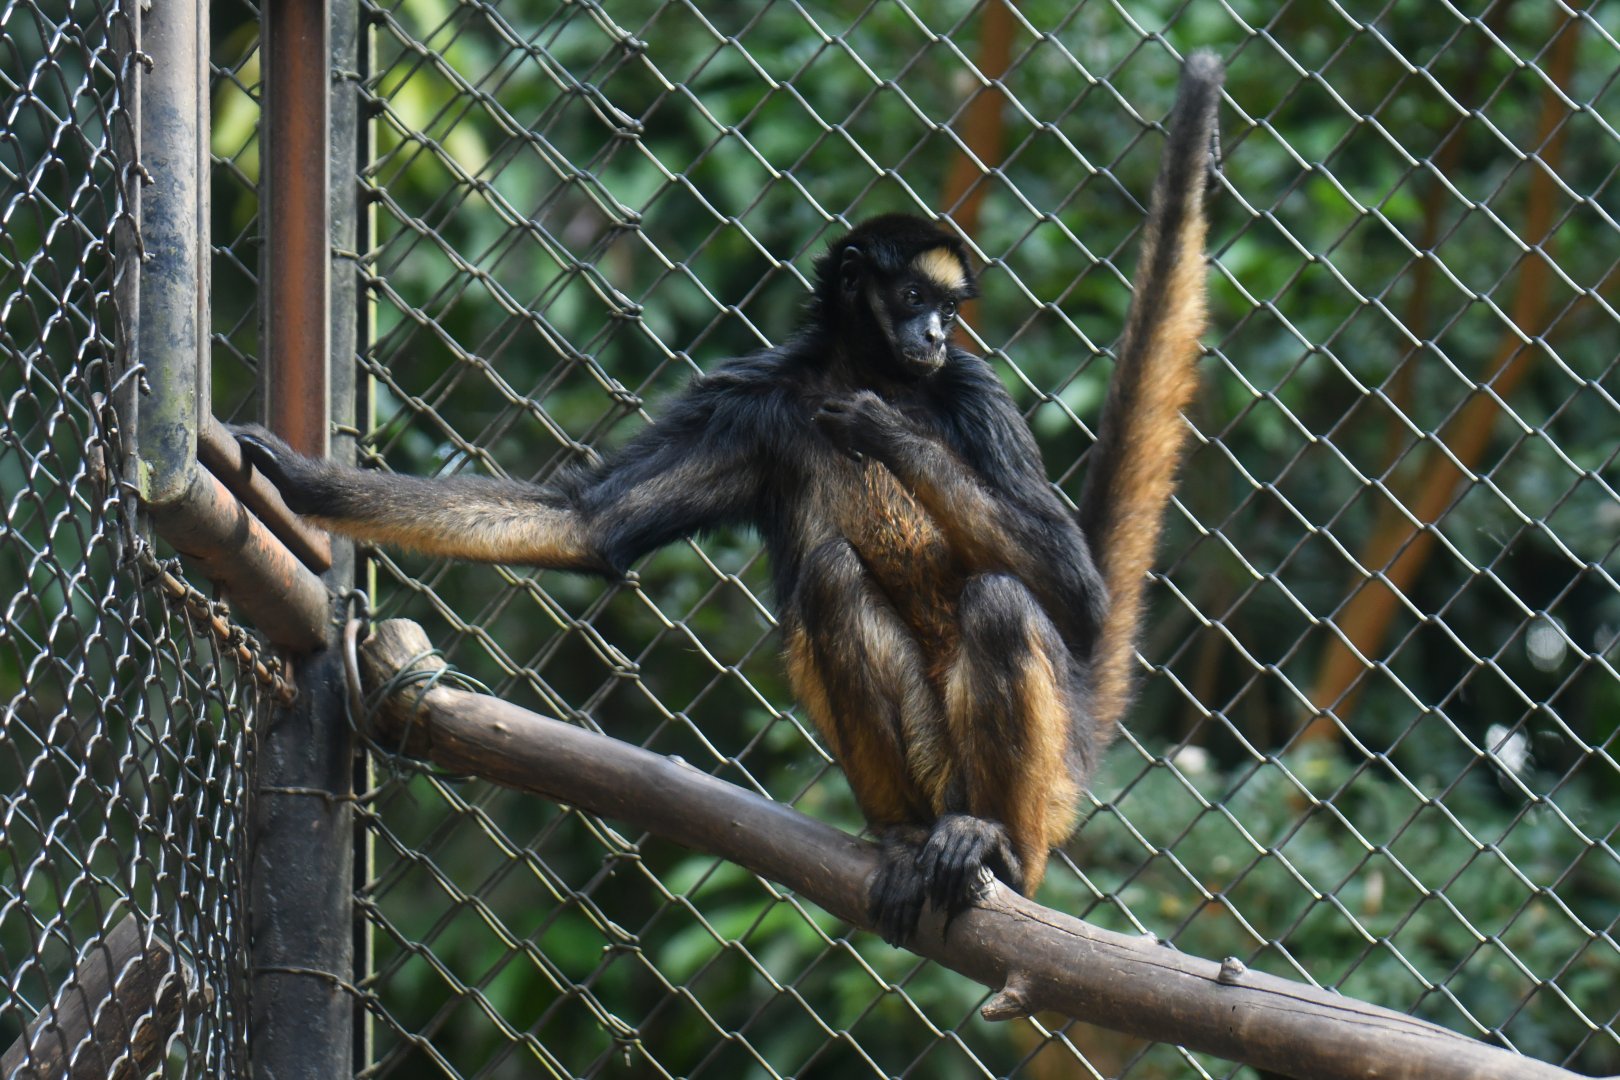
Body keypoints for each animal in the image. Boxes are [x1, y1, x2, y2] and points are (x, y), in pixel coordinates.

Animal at [232, 51, 1222, 946]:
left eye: (949, 308)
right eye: (912, 295)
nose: (937, 335)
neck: (869, 371)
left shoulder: (975, 395)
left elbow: (1078, 599)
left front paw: (891, 437)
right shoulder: (757, 403)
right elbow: (591, 525)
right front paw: (301, 481)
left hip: (1043, 792)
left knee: (1006, 602)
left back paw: (991, 846)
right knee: (831, 579)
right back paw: (910, 836)